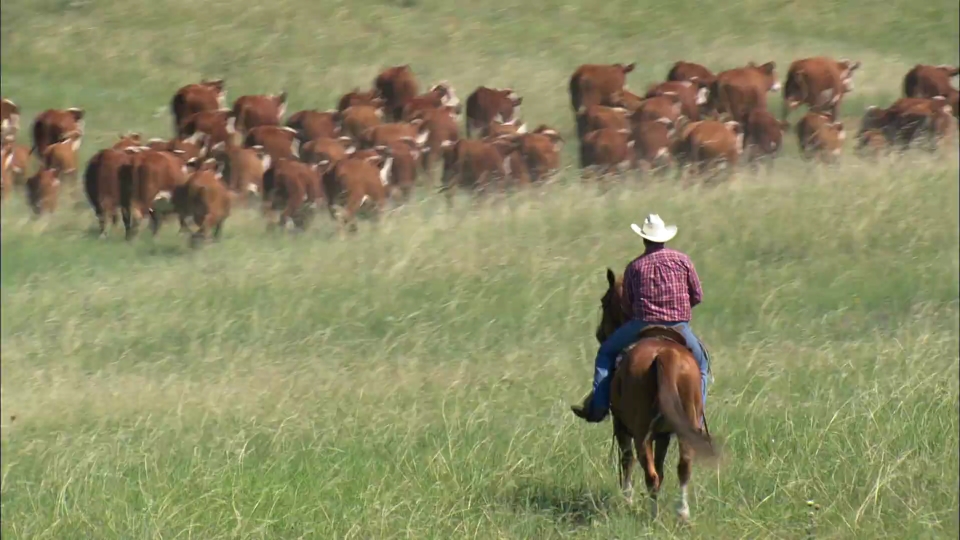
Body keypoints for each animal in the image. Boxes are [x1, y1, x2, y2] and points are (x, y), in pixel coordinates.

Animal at [592, 268, 720, 520]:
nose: (599, 334)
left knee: (648, 472)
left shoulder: (622, 425)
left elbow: (627, 460)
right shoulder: (663, 435)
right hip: (685, 427)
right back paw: (682, 514)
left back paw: (654, 514)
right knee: (683, 467)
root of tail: (664, 355)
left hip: (641, 432)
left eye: (604, 301)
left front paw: (628, 500)